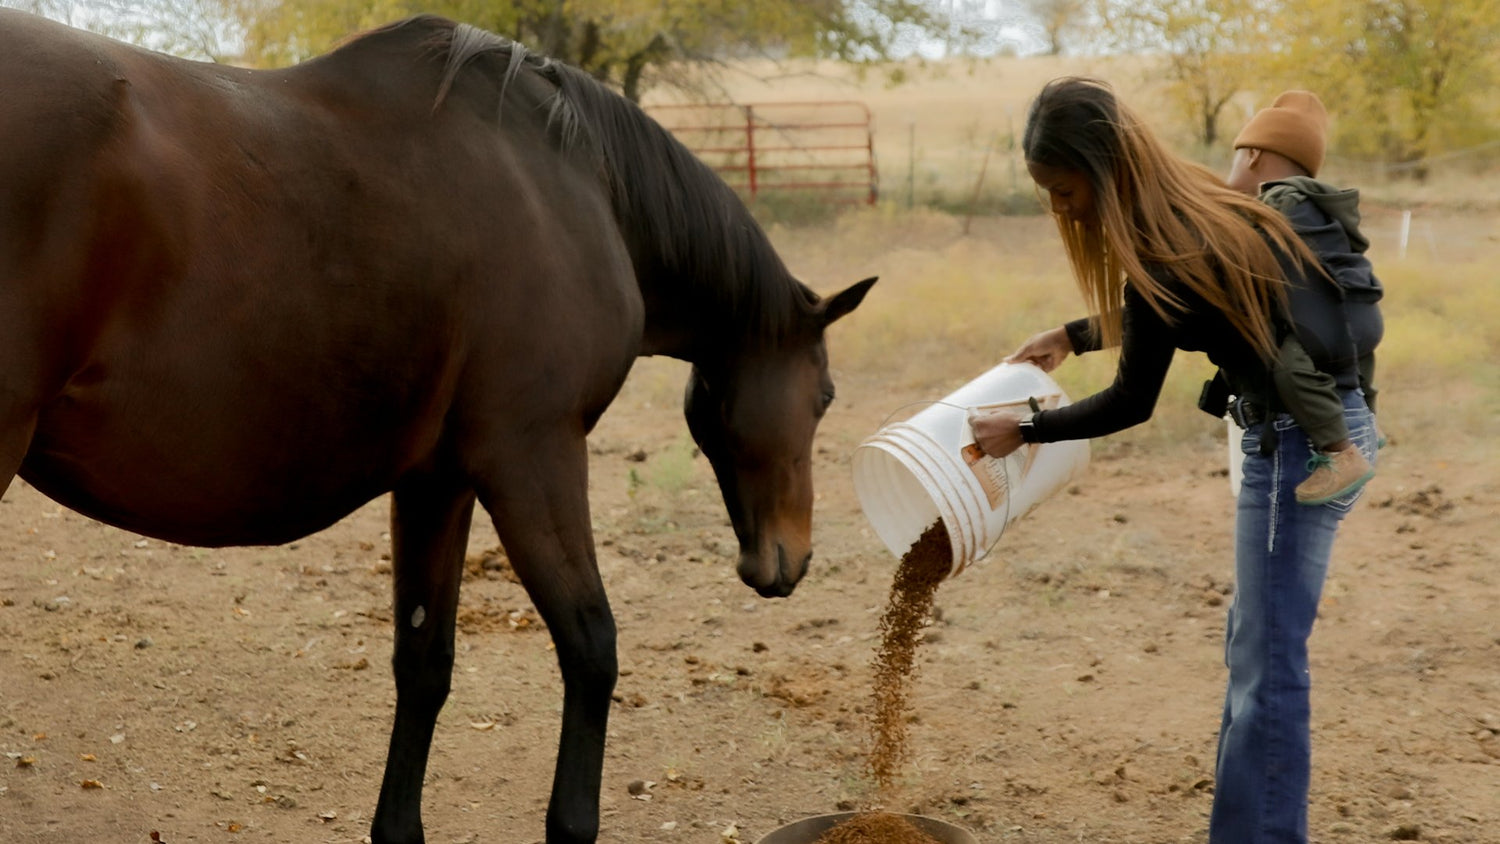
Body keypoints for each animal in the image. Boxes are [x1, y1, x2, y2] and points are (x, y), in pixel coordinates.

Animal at [0, 13, 876, 844]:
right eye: (826, 395)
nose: (789, 558)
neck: (574, 184)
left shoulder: (438, 483)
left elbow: (424, 663)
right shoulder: (534, 458)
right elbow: (591, 648)